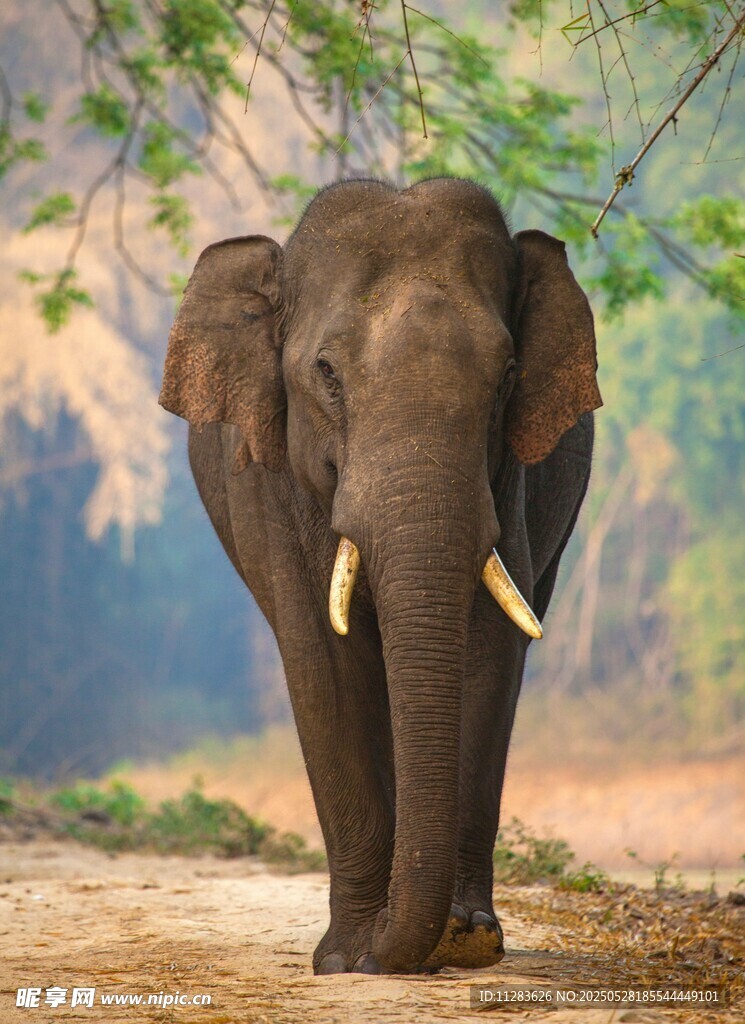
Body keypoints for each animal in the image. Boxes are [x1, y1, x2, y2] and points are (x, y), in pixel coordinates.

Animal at [159, 177, 601, 975]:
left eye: (508, 377)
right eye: (326, 374)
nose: (386, 950)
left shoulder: (511, 486)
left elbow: (487, 654)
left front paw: (463, 940)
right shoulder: (271, 484)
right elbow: (322, 665)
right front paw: (347, 958)